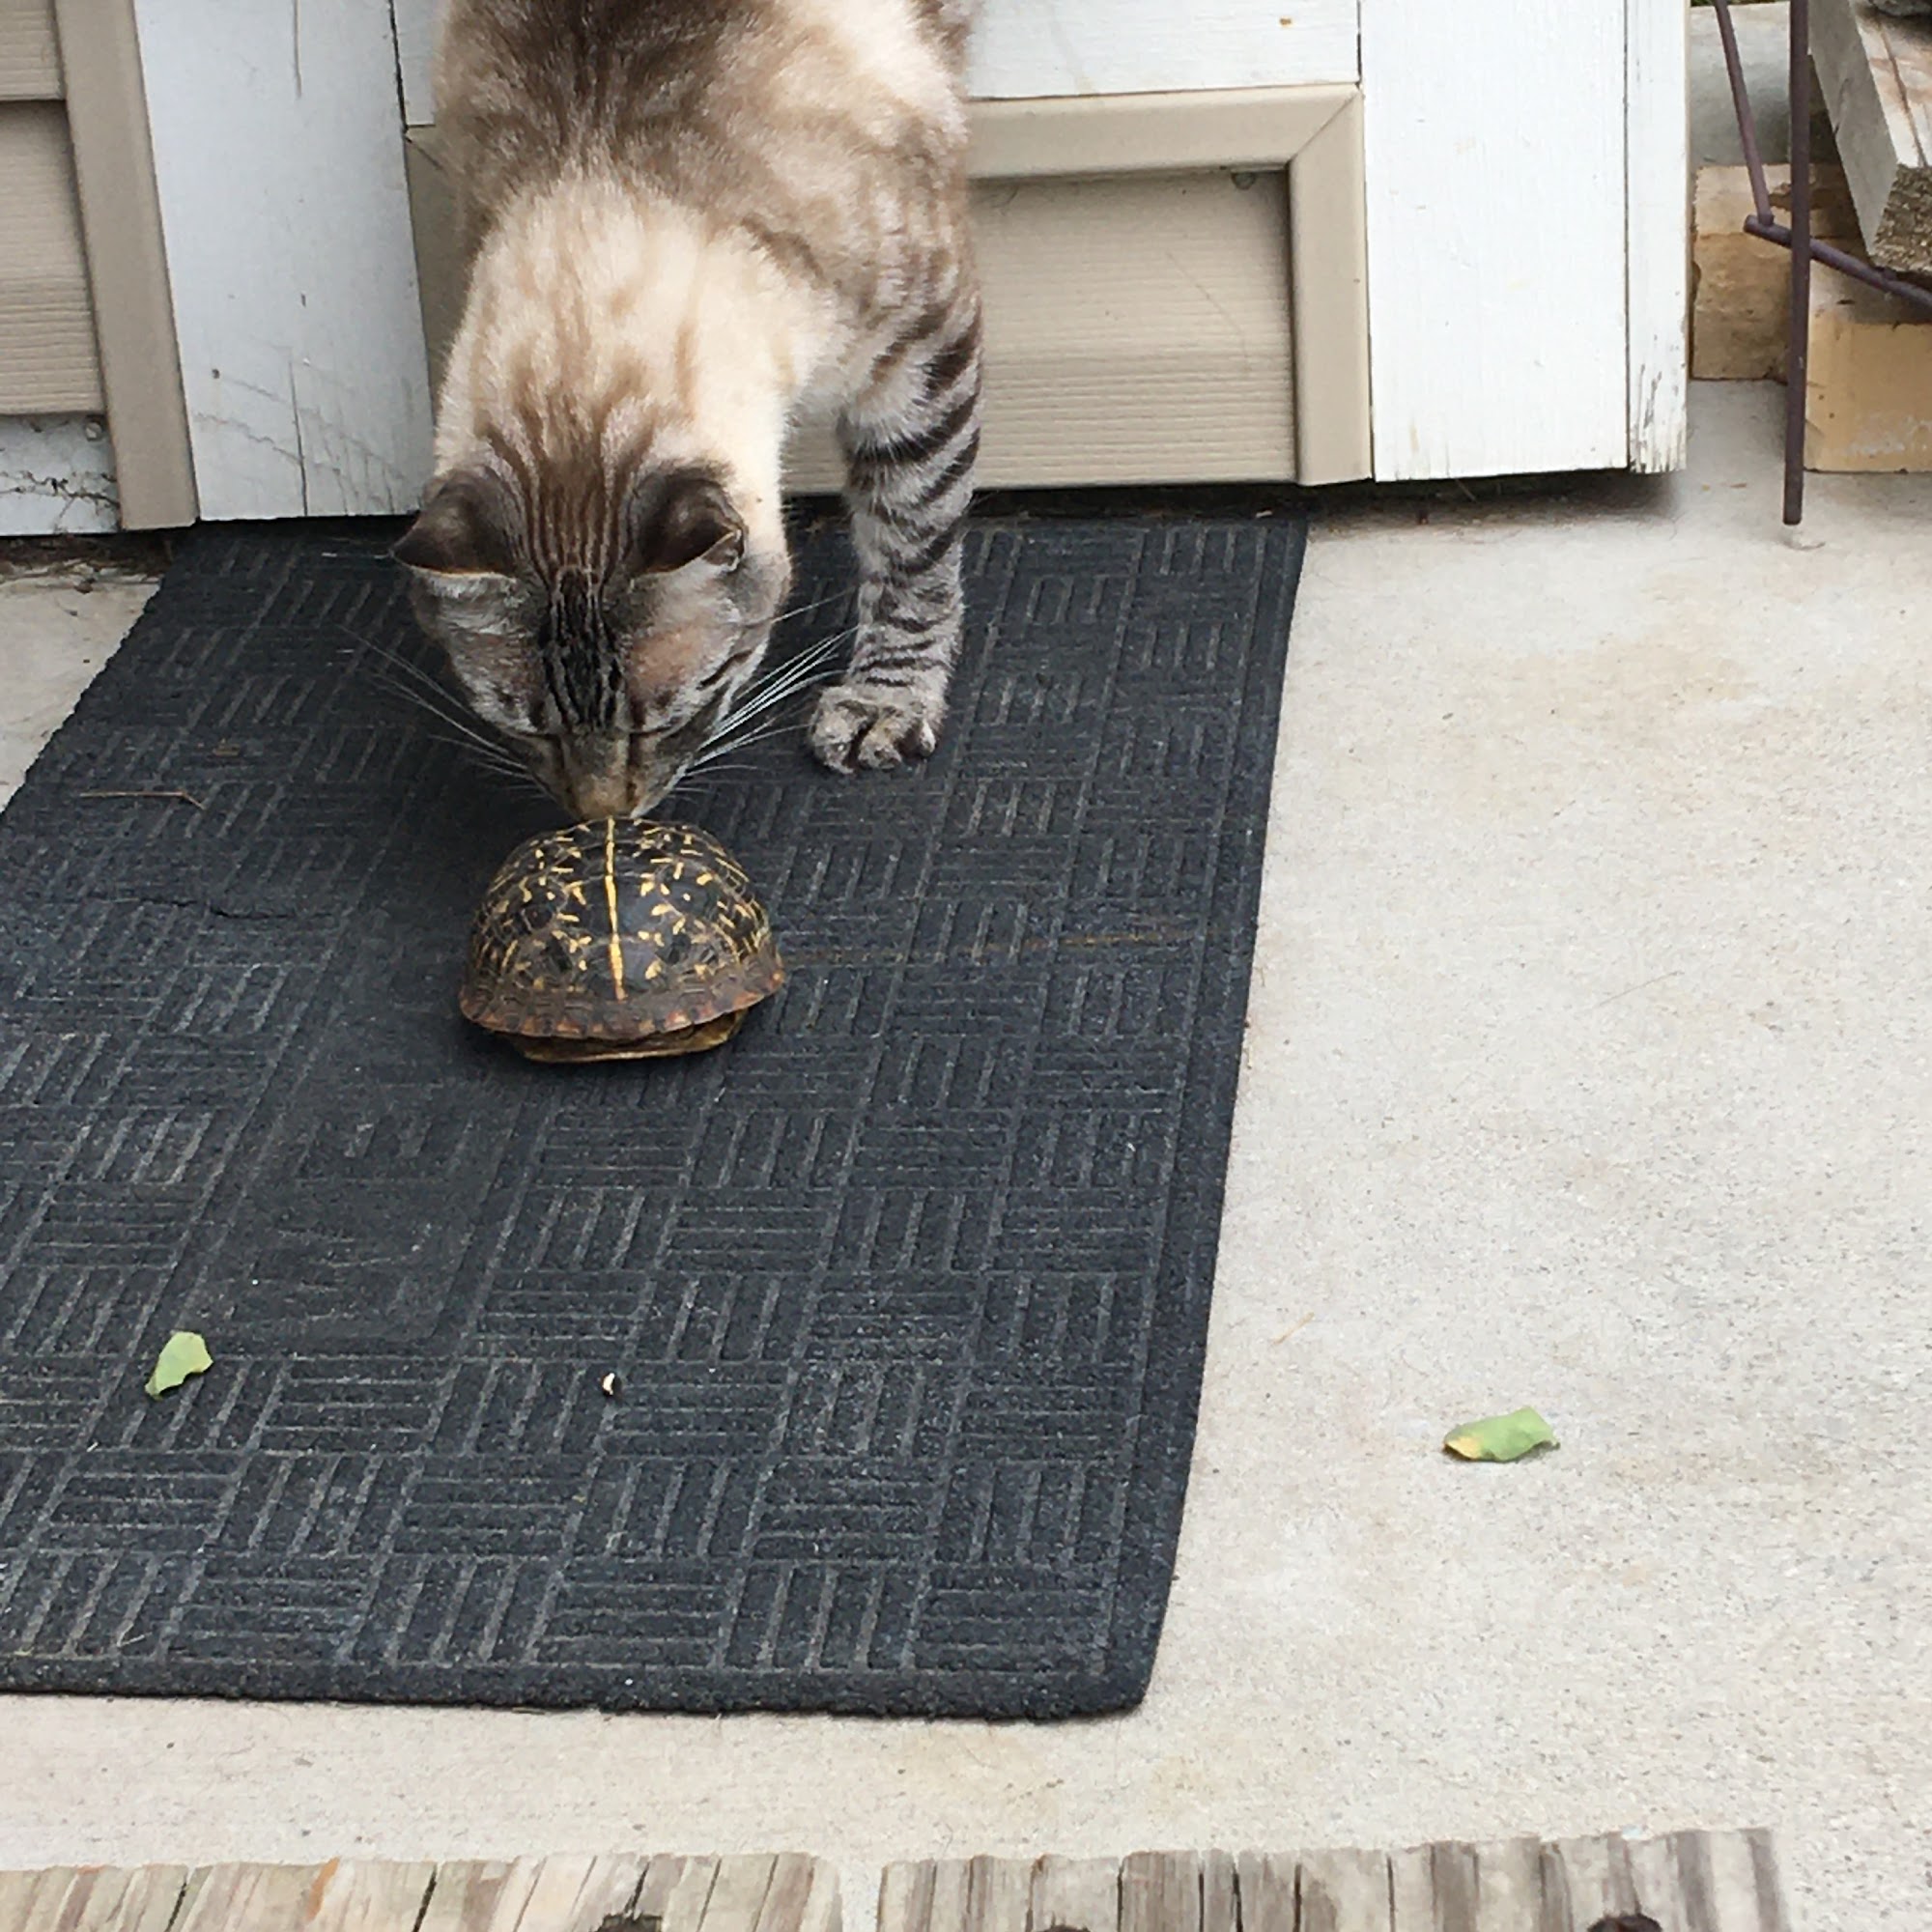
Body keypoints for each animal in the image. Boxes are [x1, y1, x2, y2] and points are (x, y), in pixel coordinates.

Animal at [396, 0, 983, 820]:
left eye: (674, 715)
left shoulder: (920, 357)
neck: (596, 164)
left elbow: (913, 546)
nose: (604, 816)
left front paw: (883, 703)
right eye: (527, 729)